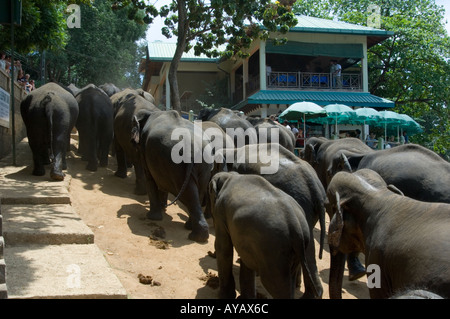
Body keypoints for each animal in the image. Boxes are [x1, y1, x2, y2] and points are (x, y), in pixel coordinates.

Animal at [131, 110, 214, 242]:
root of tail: (192, 148)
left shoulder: (145, 150)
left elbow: (150, 178)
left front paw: (152, 217)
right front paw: (162, 208)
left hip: (175, 165)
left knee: (188, 194)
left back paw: (196, 236)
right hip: (204, 165)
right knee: (198, 193)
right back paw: (192, 229)